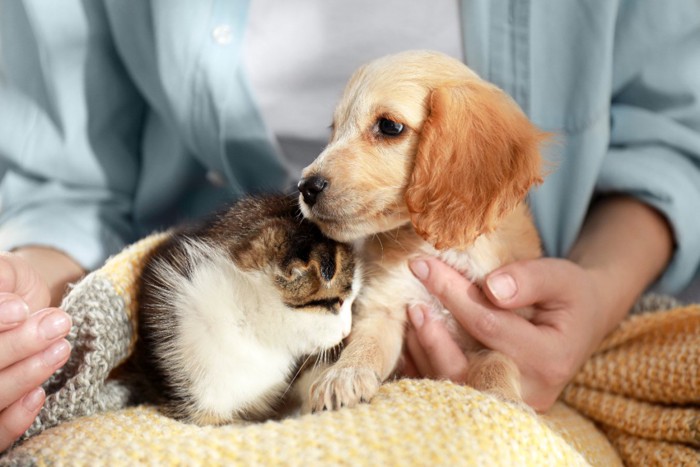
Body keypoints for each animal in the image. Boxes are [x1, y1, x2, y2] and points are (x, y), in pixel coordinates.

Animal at [296, 49, 548, 412]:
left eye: (389, 126)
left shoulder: (502, 327)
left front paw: (503, 399)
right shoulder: (384, 306)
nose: (306, 187)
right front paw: (344, 375)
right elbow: (366, 343)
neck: (445, 249)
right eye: (334, 129)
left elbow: (497, 362)